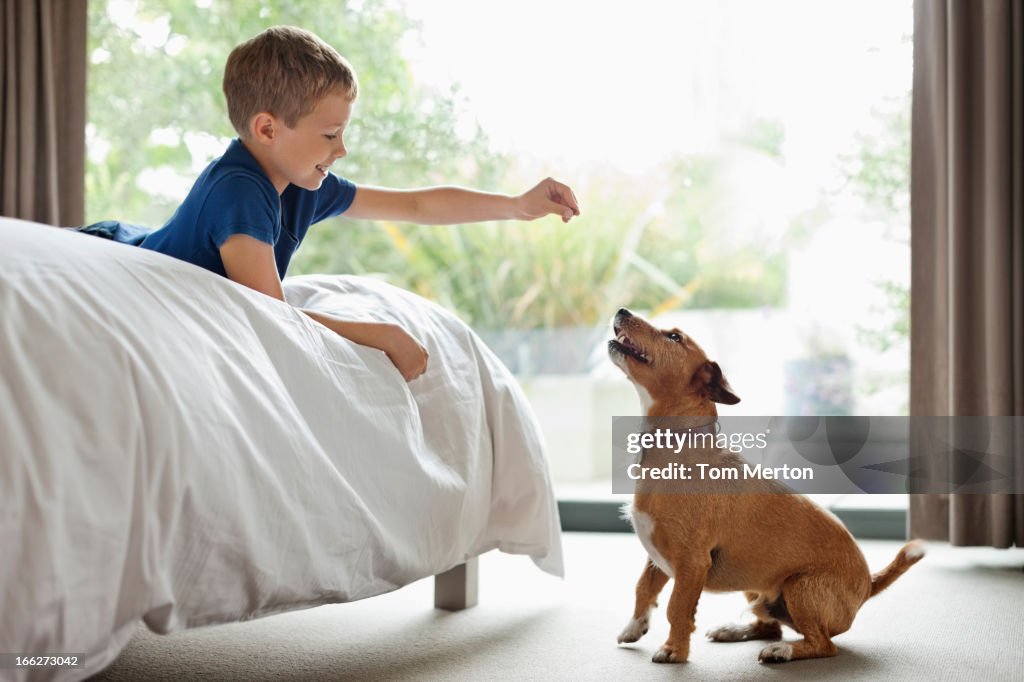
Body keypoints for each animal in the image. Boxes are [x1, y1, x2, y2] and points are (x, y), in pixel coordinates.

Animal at [606, 309, 929, 663]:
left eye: (675, 337)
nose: (622, 311)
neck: (676, 445)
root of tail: (869, 584)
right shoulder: (657, 555)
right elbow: (643, 588)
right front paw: (634, 627)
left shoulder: (691, 562)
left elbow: (677, 608)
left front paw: (674, 650)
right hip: (753, 581)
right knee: (769, 625)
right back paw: (736, 630)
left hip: (800, 588)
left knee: (822, 644)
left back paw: (782, 651)